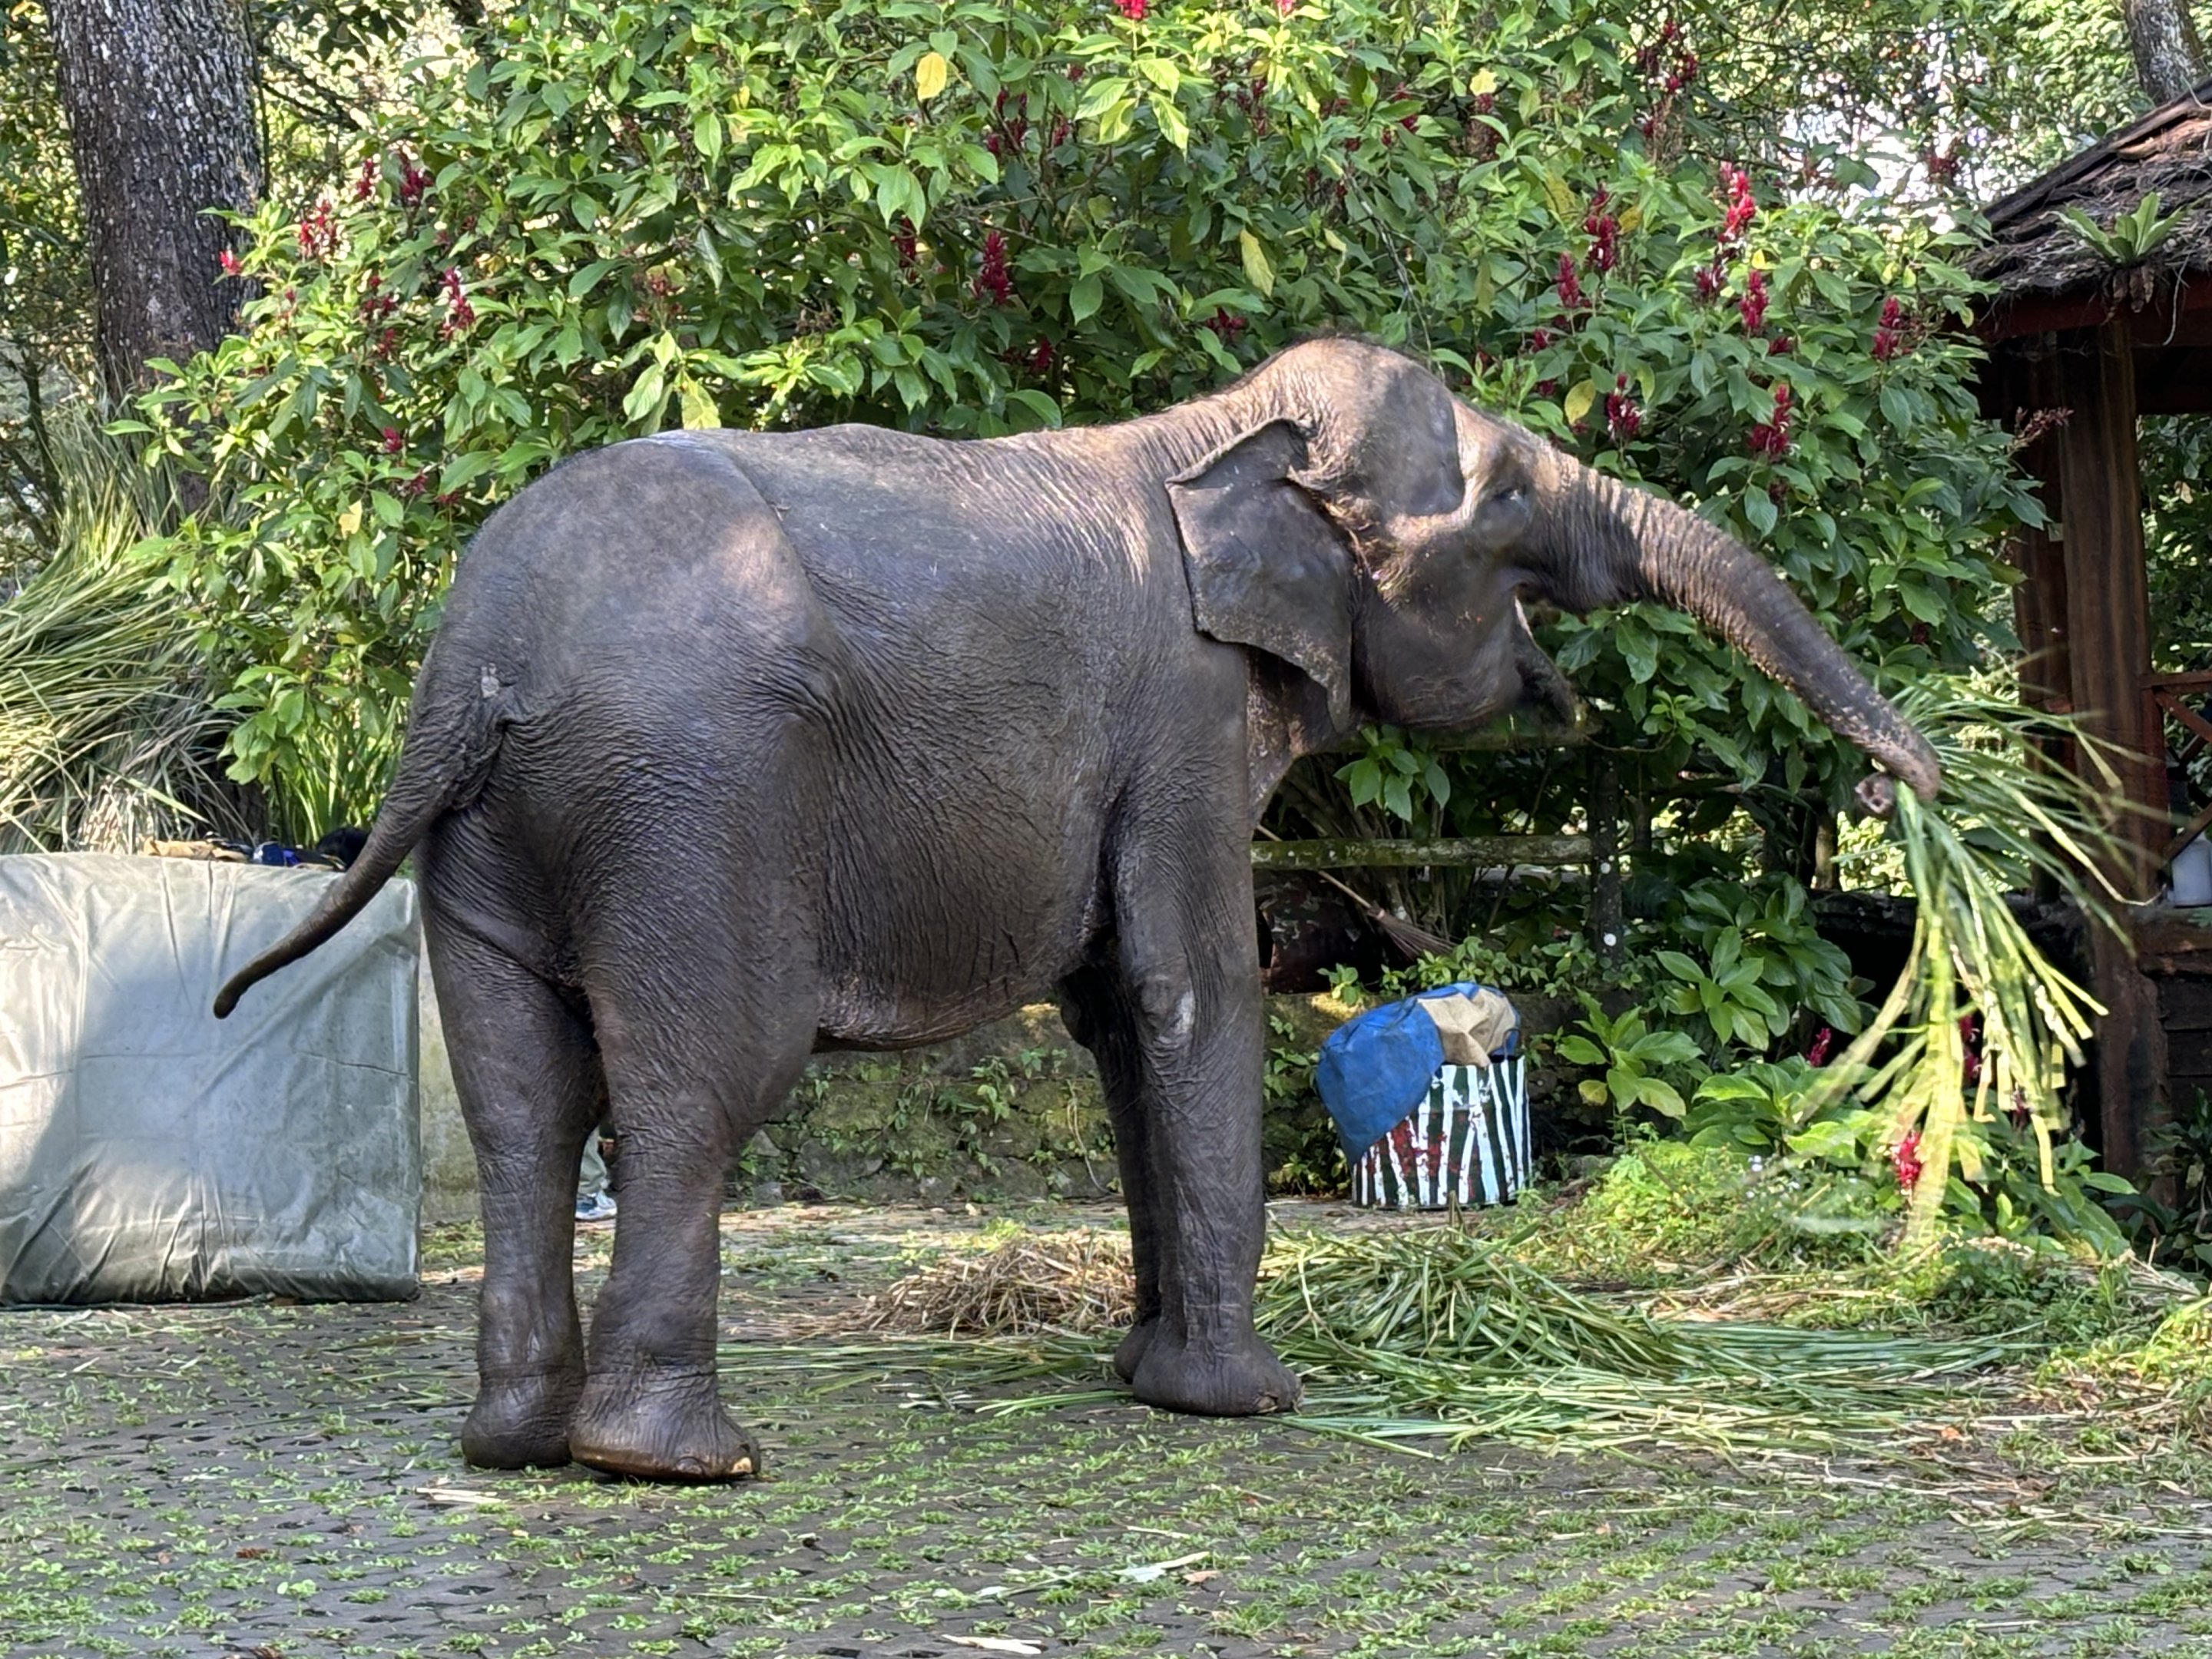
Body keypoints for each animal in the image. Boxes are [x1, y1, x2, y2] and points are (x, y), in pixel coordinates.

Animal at [214, 339, 1939, 1482]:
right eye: (1509, 499)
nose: (1893, 798)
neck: (1220, 441)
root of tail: (475, 661)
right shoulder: (1181, 715)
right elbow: (1191, 993)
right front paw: (1251, 1404)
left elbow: (1118, 1022)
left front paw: (1147, 1376)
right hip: (692, 794)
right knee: (698, 1083)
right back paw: (679, 1462)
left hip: (494, 835)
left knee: (522, 1099)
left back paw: (512, 1443)